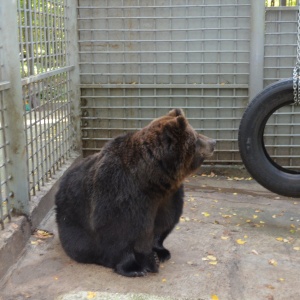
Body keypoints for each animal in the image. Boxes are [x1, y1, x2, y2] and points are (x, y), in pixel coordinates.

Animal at [55, 108, 216, 276]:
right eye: (196, 137)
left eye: (196, 133)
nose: (213, 142)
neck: (150, 179)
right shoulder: (120, 191)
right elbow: (119, 230)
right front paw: (135, 267)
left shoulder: (167, 196)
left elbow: (163, 222)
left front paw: (159, 253)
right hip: (71, 217)